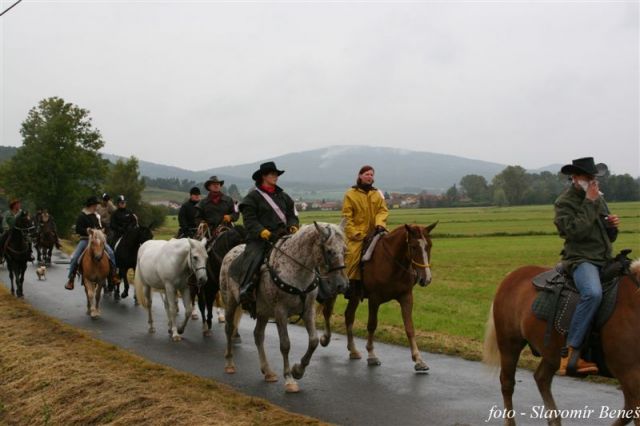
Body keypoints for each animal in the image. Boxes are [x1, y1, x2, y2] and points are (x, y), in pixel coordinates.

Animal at [221, 223, 350, 392]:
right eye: (329, 250)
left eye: (345, 249)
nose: (342, 285)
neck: (296, 272)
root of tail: (231, 252)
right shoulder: (280, 312)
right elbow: (285, 344)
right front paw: (289, 379)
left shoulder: (309, 311)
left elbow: (314, 341)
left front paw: (298, 370)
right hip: (230, 302)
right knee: (229, 328)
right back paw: (229, 363)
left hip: (263, 312)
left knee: (258, 335)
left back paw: (268, 371)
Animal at [318, 223, 438, 372]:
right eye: (414, 247)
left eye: (429, 245)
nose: (426, 279)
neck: (391, 263)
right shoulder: (374, 299)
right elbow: (372, 325)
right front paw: (371, 355)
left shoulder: (406, 297)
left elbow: (409, 327)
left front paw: (418, 359)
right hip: (333, 290)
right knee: (327, 312)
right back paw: (326, 338)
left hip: (354, 295)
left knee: (348, 316)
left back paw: (353, 350)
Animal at [484, 260, 640, 426]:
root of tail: (512, 275)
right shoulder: (630, 375)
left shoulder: (630, 379)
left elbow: (628, 411)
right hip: (509, 344)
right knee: (507, 383)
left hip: (552, 353)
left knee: (541, 378)